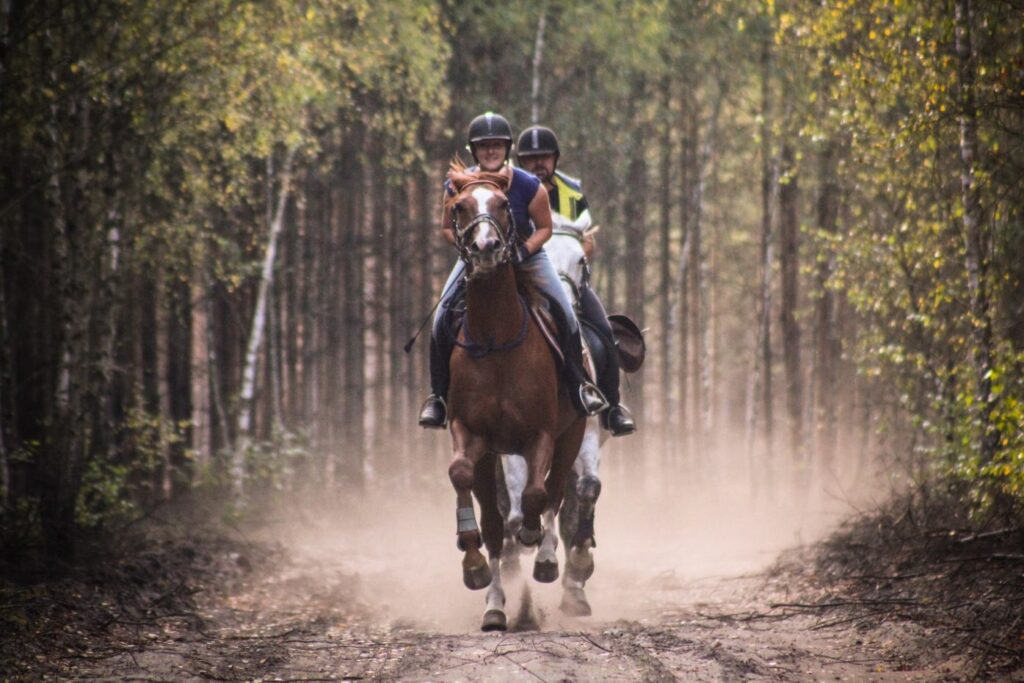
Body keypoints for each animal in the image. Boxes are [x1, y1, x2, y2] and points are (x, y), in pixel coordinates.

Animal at [446, 162, 585, 634]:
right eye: (459, 206)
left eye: (505, 204)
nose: (487, 248)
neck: (496, 338)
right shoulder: (470, 433)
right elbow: (463, 481)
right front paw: (473, 566)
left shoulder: (540, 434)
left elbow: (537, 496)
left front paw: (532, 540)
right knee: (495, 520)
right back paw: (495, 604)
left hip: (573, 433)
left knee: (556, 493)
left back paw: (543, 557)